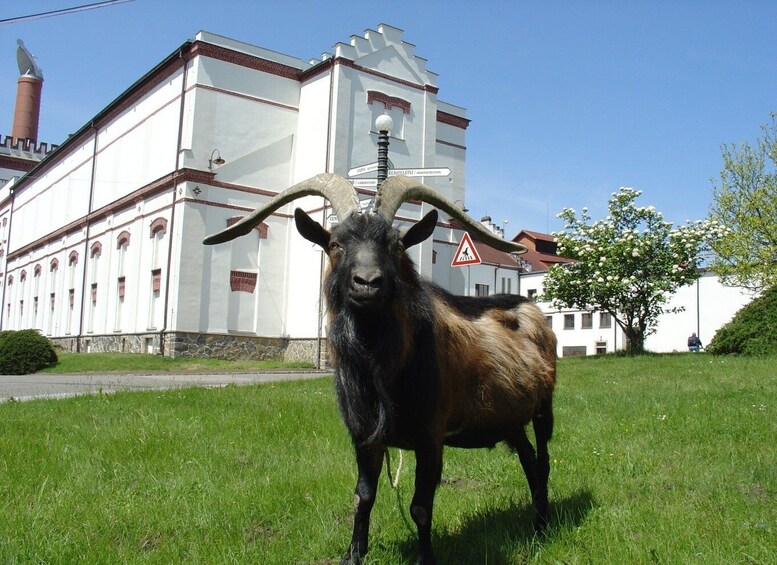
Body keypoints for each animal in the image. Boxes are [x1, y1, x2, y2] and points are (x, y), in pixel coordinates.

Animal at [205, 173, 556, 564]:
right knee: (527, 458)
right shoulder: (363, 435)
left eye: (395, 245)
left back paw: (542, 527)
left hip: (543, 408)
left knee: (542, 461)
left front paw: (425, 558)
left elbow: (420, 507)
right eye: (336, 244)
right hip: (510, 417)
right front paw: (353, 554)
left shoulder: (431, 436)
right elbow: (363, 496)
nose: (368, 283)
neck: (385, 370)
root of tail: (533, 310)